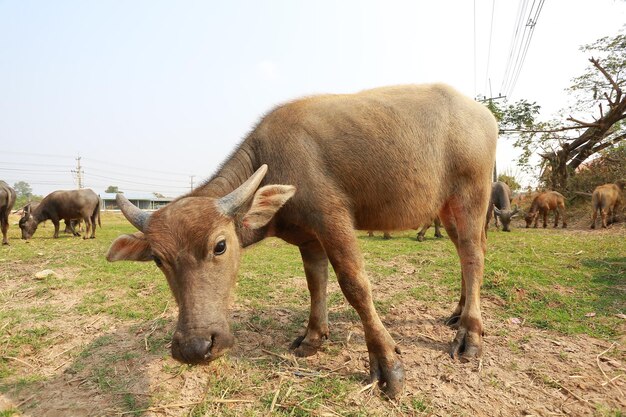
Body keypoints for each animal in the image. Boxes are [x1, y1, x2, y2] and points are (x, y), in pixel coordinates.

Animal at [107, 82, 498, 396]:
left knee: (473, 256)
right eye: (158, 259)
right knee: (466, 253)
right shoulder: (309, 240)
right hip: (445, 208)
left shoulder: (333, 220)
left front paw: (388, 364)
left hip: (472, 195)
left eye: (219, 245)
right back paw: (458, 312)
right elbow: (316, 284)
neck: (272, 165)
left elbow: (355, 285)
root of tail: (482, 113)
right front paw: (313, 337)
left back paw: (470, 334)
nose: (195, 347)